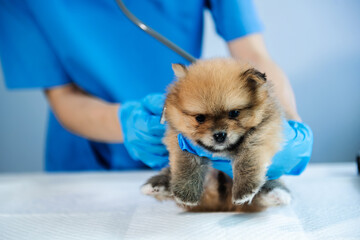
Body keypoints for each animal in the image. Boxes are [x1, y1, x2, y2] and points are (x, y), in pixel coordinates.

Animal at [139, 59, 292, 212]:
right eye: (200, 118)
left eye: (234, 113)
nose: (219, 135)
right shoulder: (180, 139)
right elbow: (186, 163)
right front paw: (186, 193)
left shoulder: (264, 130)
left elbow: (247, 156)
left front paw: (244, 188)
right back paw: (155, 186)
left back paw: (277, 193)